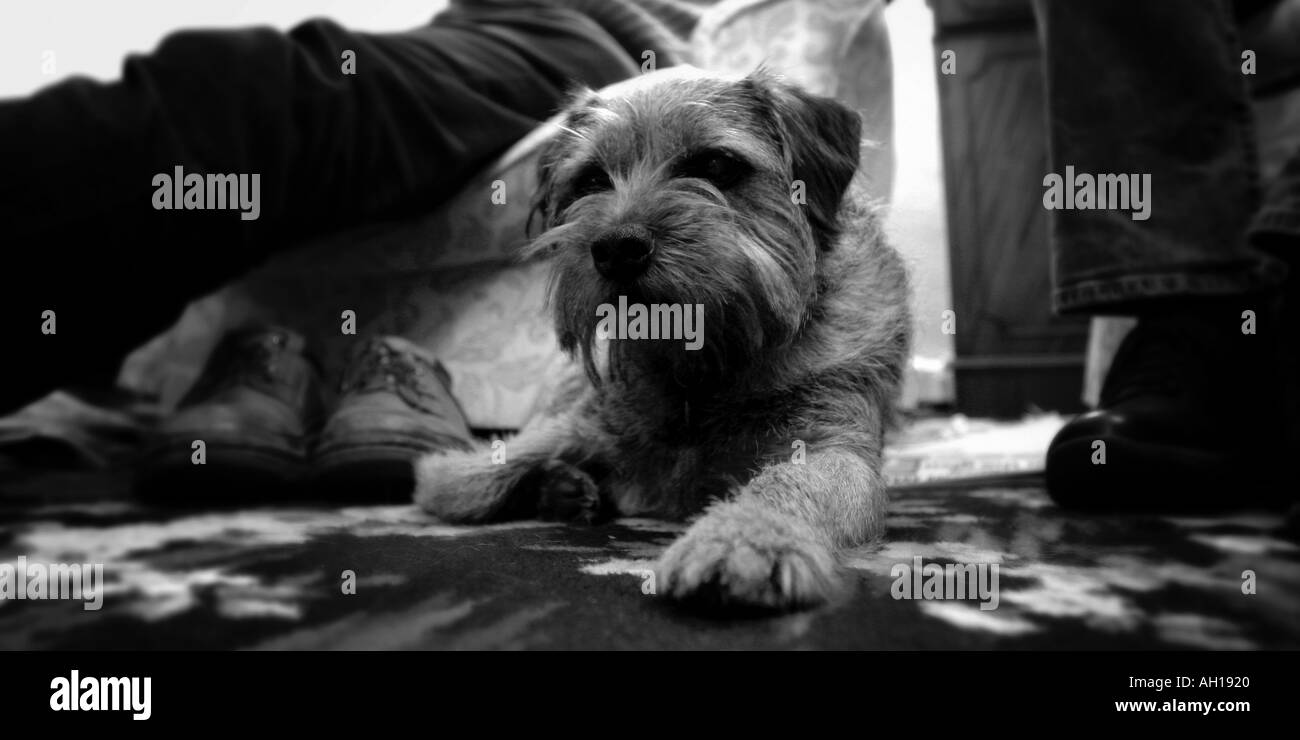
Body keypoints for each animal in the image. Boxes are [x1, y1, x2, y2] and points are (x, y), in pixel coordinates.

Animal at [410, 67, 909, 611]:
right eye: (591, 180)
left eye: (716, 164)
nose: (616, 248)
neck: (703, 364)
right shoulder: (583, 422)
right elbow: (466, 481)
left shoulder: (833, 448)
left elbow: (791, 481)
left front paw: (741, 540)